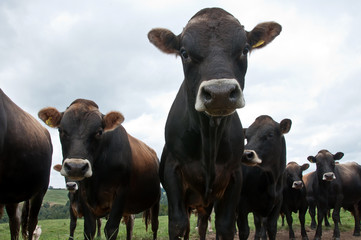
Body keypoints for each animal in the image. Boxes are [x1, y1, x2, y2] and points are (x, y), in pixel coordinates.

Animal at [37, 98, 159, 239]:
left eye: (99, 132)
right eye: (60, 130)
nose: (76, 167)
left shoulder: (121, 194)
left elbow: (111, 229)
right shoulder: (85, 198)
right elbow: (89, 229)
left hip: (155, 200)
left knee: (153, 225)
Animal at [147, 7, 282, 240]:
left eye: (245, 49)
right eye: (184, 53)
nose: (220, 93)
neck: (210, 135)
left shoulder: (233, 177)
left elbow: (226, 226)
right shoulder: (173, 172)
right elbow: (177, 225)